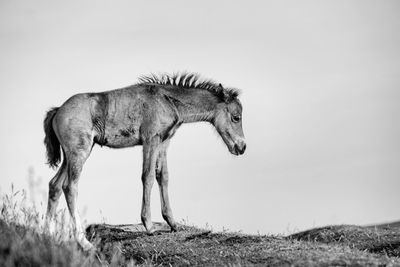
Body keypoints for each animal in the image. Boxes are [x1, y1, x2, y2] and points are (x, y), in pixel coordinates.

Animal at [42, 72, 245, 250]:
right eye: (236, 117)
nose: (242, 147)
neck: (167, 100)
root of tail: (58, 110)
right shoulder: (150, 140)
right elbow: (147, 177)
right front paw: (149, 225)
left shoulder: (163, 141)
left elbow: (163, 176)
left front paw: (172, 223)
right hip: (79, 152)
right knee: (70, 187)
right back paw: (84, 242)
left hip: (71, 156)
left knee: (55, 185)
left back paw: (48, 236)